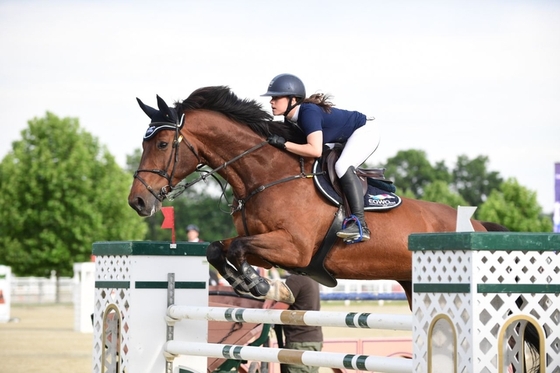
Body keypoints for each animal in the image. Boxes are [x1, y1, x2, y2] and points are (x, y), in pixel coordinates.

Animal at [129, 86, 500, 308]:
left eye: (162, 143)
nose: (137, 202)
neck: (266, 175)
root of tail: (479, 227)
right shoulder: (270, 248)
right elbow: (217, 249)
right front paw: (250, 284)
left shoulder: (294, 247)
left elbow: (235, 249)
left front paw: (260, 287)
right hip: (412, 285)